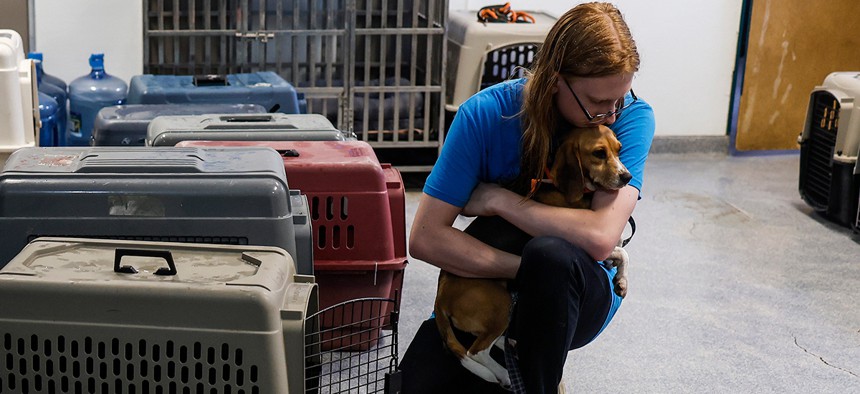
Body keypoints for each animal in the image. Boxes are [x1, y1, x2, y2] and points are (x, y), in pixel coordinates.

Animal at [436, 124, 632, 386]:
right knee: (476, 351)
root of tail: (441, 295)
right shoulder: (587, 244)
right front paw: (621, 277)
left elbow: (620, 250)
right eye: (599, 153)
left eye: (619, 150)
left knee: (495, 341)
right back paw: (504, 374)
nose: (627, 177)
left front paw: (620, 279)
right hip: (499, 303)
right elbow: (622, 251)